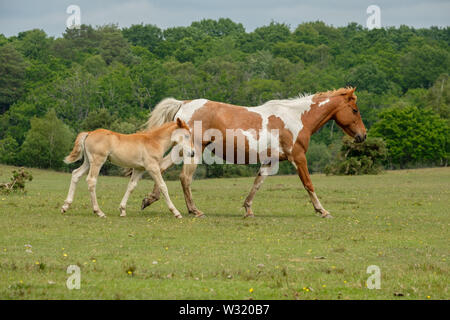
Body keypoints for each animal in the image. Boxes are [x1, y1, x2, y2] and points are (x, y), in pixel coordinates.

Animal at [142, 87, 368, 218]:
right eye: (355, 110)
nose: (363, 135)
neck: (297, 118)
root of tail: (184, 104)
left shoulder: (271, 161)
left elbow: (257, 183)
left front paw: (248, 209)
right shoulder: (298, 157)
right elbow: (308, 184)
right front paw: (322, 210)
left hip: (182, 150)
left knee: (162, 167)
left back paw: (150, 199)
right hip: (194, 150)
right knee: (184, 178)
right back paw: (194, 210)